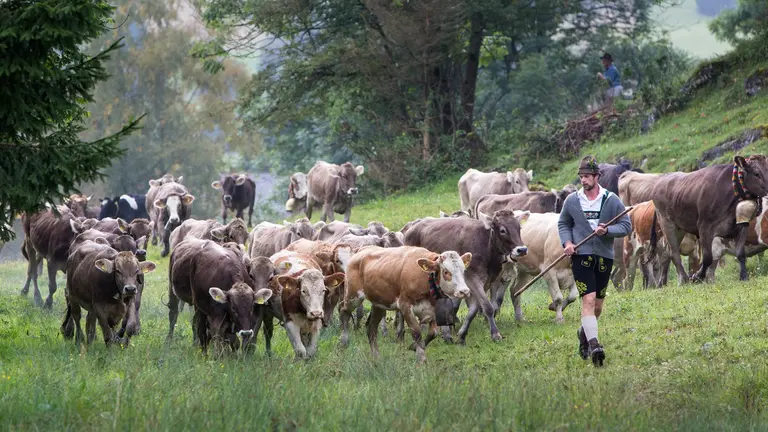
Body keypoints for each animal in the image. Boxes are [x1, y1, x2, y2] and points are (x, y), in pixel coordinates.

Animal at [340, 246, 472, 362]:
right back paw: (344, 341)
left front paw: (414, 347)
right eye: (446, 272)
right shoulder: (405, 306)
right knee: (343, 310)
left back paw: (376, 356)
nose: (464, 291)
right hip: (353, 296)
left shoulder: (432, 309)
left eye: (463, 270)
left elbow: (433, 333)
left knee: (371, 328)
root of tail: (362, 250)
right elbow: (416, 332)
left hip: (379, 304)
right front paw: (421, 358)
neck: (426, 279)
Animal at [402, 210, 528, 344]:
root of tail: (412, 226)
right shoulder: (473, 279)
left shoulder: (485, 282)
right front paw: (495, 334)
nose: (522, 249)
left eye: (519, 227)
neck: (486, 247)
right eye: (503, 230)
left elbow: (473, 310)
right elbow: (487, 307)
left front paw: (462, 334)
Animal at [652, 155, 768, 284]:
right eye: (756, 173)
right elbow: (708, 258)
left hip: (680, 228)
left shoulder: (742, 226)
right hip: (667, 224)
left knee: (670, 252)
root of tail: (663, 178)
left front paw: (744, 276)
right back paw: (684, 279)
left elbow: (741, 254)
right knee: (674, 253)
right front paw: (698, 276)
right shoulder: (704, 227)